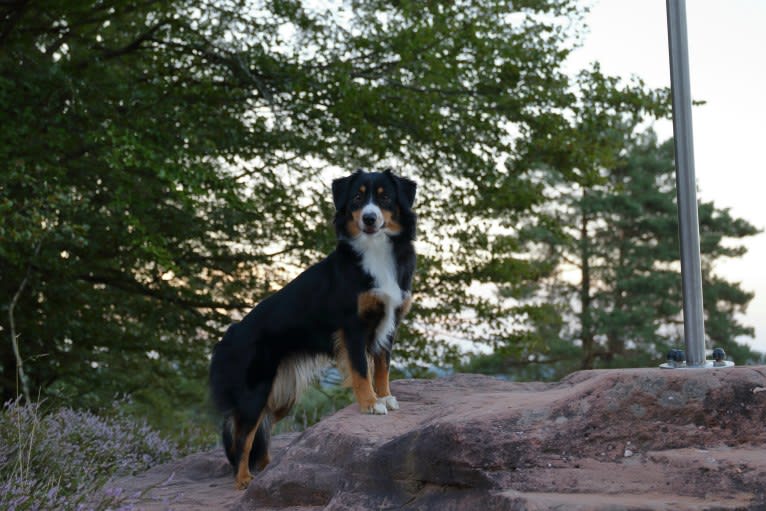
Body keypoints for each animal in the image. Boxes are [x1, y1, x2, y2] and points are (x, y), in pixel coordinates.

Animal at [207, 168, 416, 488]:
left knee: (259, 432)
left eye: (385, 198)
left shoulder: (389, 321)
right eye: (357, 198)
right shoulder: (352, 326)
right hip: (254, 391)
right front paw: (370, 404)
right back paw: (244, 480)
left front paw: (385, 397)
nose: (369, 219)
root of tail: (226, 338)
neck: (376, 250)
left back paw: (268, 471)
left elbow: (382, 366)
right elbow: (361, 370)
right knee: (242, 437)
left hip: (281, 395)